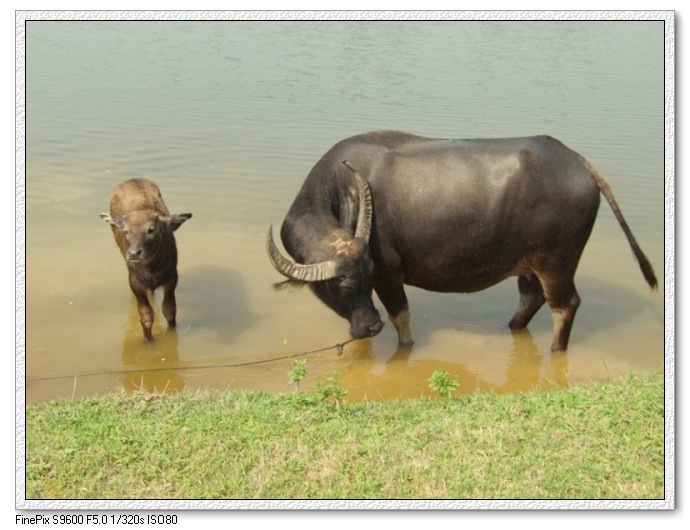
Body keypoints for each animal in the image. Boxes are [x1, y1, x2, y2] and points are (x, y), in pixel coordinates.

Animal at [100, 177, 191, 340]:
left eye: (151, 229)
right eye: (126, 231)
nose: (134, 253)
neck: (152, 268)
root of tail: (133, 179)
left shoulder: (172, 278)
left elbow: (169, 310)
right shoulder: (135, 282)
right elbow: (146, 315)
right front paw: (147, 340)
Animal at [264, 129, 656, 348]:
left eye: (360, 279)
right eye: (344, 286)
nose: (371, 326)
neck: (341, 190)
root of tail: (578, 161)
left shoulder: (388, 276)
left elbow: (402, 320)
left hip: (557, 264)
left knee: (565, 305)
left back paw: (556, 349)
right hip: (529, 265)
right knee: (530, 299)